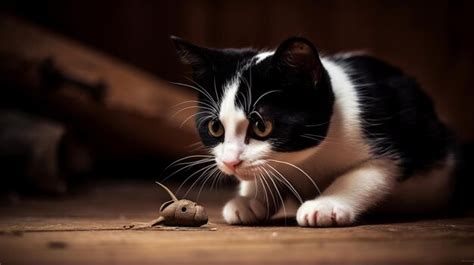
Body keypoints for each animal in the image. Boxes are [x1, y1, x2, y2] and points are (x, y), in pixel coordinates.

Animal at [170, 34, 456, 225]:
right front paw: (251, 199)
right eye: (215, 127)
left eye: (261, 126)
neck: (308, 159)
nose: (230, 162)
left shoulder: (393, 142)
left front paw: (326, 204)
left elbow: (366, 174)